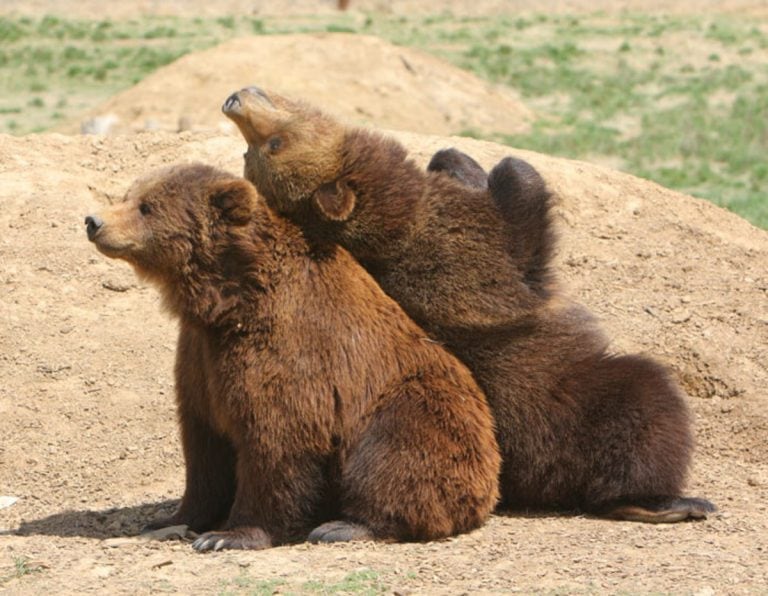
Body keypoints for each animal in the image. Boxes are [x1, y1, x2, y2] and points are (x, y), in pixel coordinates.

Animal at [85, 163, 504, 548]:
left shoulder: (289, 351)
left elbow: (277, 438)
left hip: (420, 404)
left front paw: (229, 534)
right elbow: (204, 445)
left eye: (147, 207)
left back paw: (345, 525)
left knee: (399, 453)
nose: (93, 221)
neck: (228, 301)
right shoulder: (200, 358)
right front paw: (172, 518)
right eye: (129, 195)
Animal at [220, 85, 712, 520]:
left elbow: (455, 163)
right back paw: (664, 501)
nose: (234, 100)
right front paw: (510, 169)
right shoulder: (464, 256)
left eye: (260, 149)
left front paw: (457, 160)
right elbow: (516, 209)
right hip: (570, 412)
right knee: (646, 402)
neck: (397, 209)